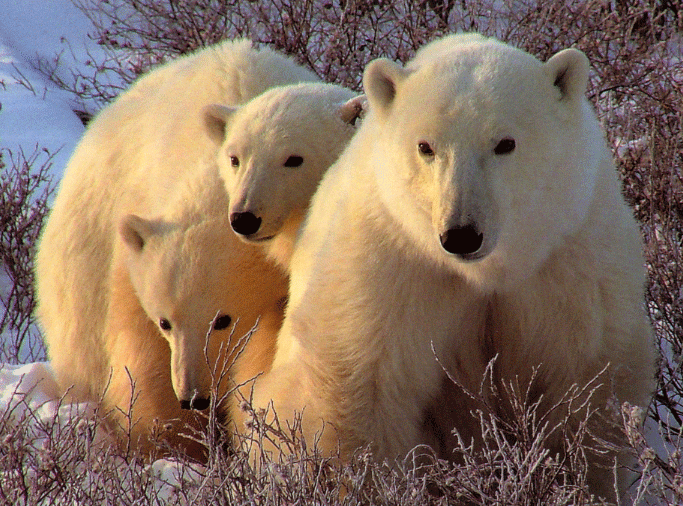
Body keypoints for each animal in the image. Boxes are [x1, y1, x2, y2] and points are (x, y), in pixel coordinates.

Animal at [248, 33, 656, 500]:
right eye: (426, 146)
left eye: (505, 143)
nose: (461, 234)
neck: (485, 271)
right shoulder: (396, 263)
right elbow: (362, 383)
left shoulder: (568, 261)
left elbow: (585, 386)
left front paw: (573, 483)